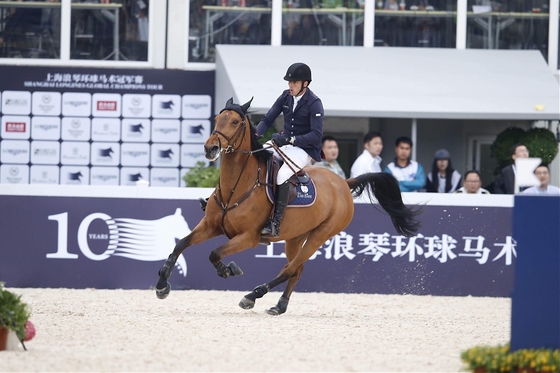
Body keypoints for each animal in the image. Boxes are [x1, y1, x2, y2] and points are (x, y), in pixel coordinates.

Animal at [156, 98, 420, 314]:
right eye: (216, 119)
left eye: (234, 121)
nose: (210, 148)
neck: (236, 187)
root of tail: (343, 183)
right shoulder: (211, 226)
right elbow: (181, 244)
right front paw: (161, 285)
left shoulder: (248, 237)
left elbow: (214, 254)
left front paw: (228, 270)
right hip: (295, 236)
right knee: (296, 269)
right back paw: (279, 305)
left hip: (320, 235)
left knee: (290, 269)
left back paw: (253, 295)